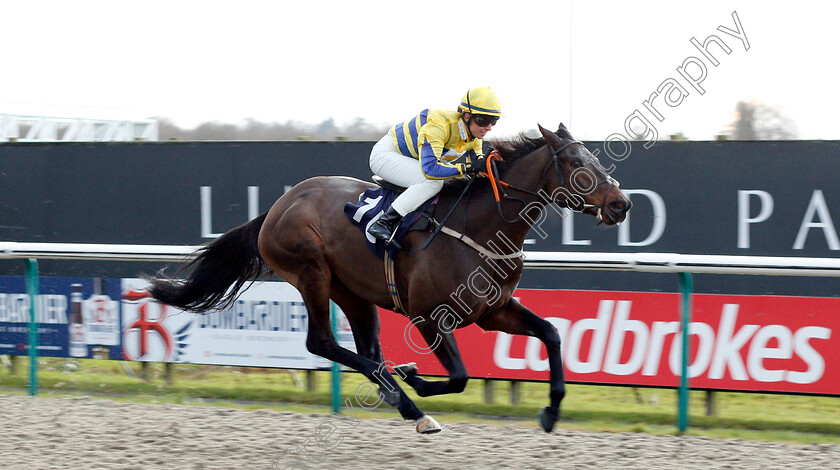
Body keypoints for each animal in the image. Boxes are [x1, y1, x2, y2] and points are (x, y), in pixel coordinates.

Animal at [144, 122, 632, 434]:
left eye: (594, 157)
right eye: (575, 162)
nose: (621, 204)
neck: (479, 227)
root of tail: (279, 207)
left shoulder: (492, 311)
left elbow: (550, 333)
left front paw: (551, 411)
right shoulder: (429, 316)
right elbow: (459, 376)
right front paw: (415, 377)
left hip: (352, 291)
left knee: (365, 349)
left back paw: (404, 401)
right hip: (311, 272)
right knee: (322, 343)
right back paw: (407, 402)